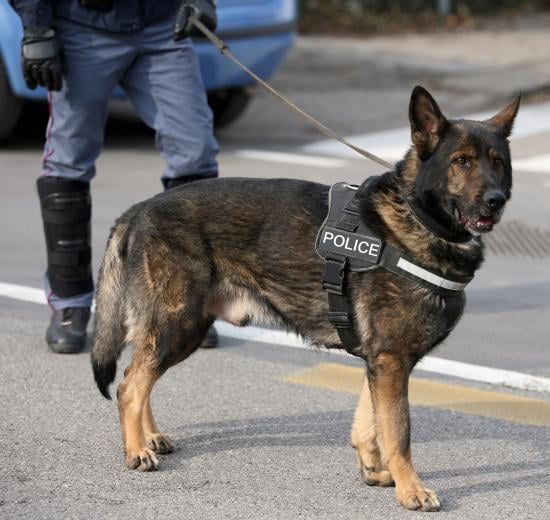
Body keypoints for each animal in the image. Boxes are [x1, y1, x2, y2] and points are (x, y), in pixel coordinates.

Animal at [91, 85, 520, 512]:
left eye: (498, 162)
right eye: (461, 161)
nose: (496, 199)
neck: (415, 216)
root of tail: (140, 209)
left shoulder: (380, 362)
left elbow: (369, 422)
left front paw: (374, 470)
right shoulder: (391, 360)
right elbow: (399, 432)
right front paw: (410, 488)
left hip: (178, 328)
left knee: (137, 373)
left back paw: (149, 437)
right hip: (179, 324)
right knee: (130, 386)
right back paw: (136, 450)